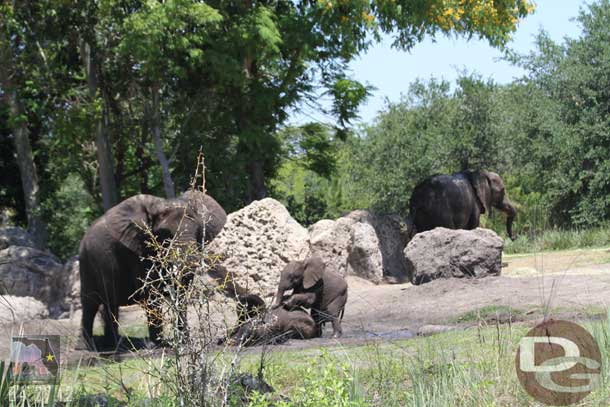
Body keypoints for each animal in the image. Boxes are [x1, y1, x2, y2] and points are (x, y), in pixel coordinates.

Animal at [78, 191, 226, 350]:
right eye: (164, 233)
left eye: (198, 229)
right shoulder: (140, 250)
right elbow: (151, 290)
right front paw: (159, 345)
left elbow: (181, 293)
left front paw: (184, 342)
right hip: (86, 263)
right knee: (90, 304)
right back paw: (88, 347)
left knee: (109, 304)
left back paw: (113, 346)